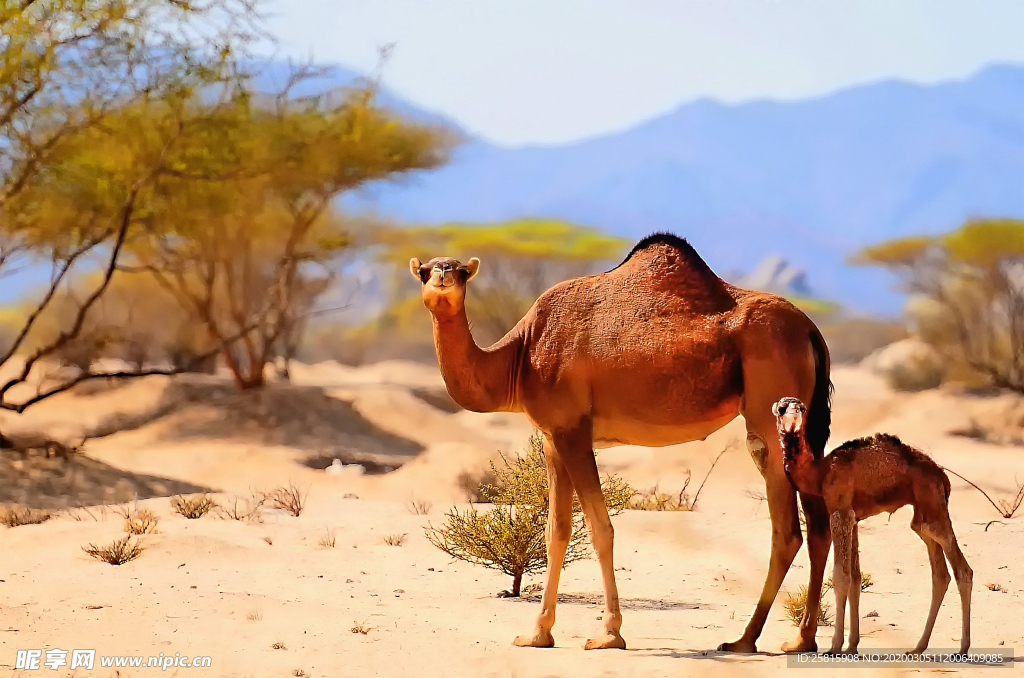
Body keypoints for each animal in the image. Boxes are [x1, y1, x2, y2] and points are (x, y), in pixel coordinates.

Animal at [407, 233, 831, 655]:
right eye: (424, 270)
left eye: (462, 271)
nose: (442, 275)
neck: (521, 355)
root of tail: (811, 331)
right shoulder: (551, 438)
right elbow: (557, 531)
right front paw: (538, 634)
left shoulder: (572, 430)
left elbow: (600, 528)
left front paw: (609, 634)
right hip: (802, 428)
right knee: (818, 524)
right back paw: (800, 638)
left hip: (769, 417)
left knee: (788, 531)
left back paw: (746, 639)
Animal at [770, 399, 970, 659]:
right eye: (782, 408)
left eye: (801, 408)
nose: (794, 411)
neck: (820, 472)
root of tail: (942, 476)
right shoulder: (853, 518)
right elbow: (855, 579)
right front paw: (851, 646)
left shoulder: (840, 512)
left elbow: (841, 576)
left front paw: (835, 647)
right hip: (923, 515)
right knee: (940, 574)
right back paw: (918, 647)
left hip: (933, 507)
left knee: (962, 571)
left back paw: (962, 648)